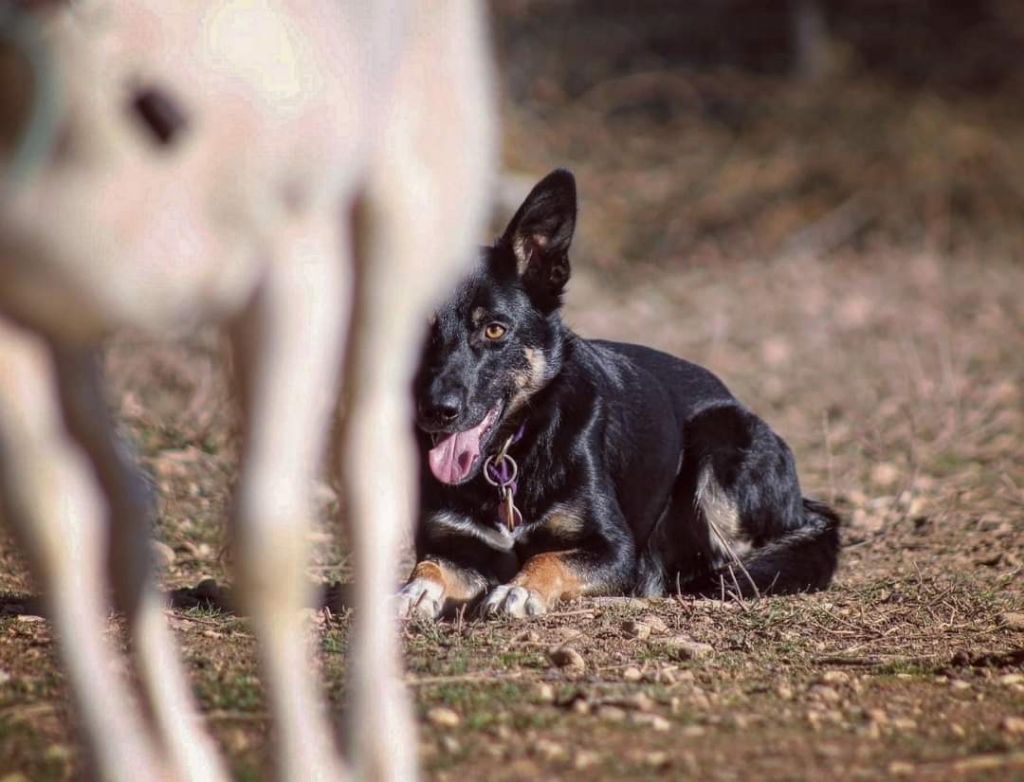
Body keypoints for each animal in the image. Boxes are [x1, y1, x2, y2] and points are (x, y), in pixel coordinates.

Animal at [0, 3, 495, 777]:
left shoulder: (294, 260)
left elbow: (272, 540)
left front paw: (309, 765)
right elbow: (55, 524)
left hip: (411, 191)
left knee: (371, 460)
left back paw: (378, 747)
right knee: (123, 500)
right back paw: (182, 757)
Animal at [395, 169, 835, 618]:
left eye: (494, 330)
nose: (436, 411)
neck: (511, 452)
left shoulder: (614, 548)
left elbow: (548, 557)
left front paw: (520, 589)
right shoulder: (454, 545)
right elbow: (430, 566)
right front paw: (414, 591)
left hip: (720, 437)